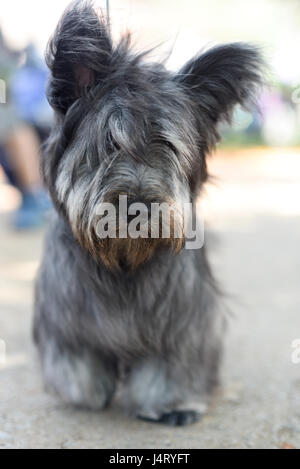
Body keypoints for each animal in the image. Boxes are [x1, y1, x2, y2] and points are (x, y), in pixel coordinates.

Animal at [34, 0, 264, 424]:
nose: (139, 206)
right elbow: (80, 375)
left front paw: (172, 404)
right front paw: (93, 390)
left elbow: (170, 368)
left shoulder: (184, 323)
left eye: (167, 147)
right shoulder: (66, 323)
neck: (124, 261)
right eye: (109, 143)